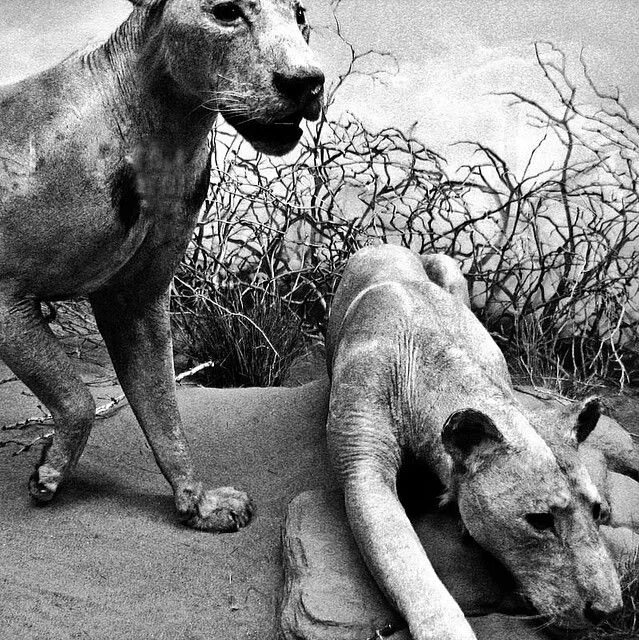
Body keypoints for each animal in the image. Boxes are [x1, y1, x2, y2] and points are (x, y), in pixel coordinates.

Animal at [328, 245, 624, 640]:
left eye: (595, 510)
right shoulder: (362, 468)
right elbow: (410, 569)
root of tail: (385, 243)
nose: (608, 611)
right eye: (540, 520)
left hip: (449, 265)